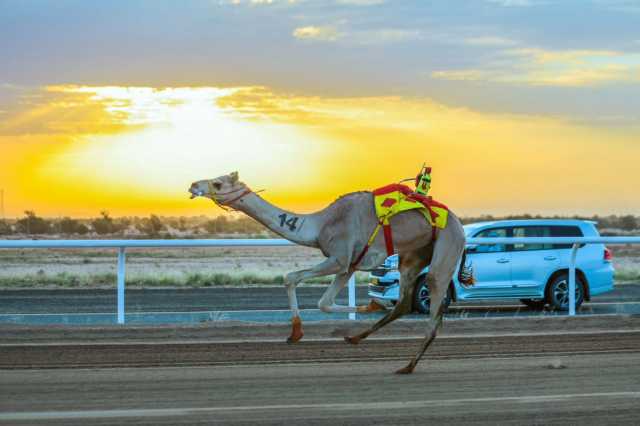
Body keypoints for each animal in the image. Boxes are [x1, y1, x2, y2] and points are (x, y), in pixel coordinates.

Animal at [188, 171, 468, 374]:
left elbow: (291, 278)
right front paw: (372, 306)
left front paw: (296, 333)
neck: (320, 224)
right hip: (414, 255)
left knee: (433, 303)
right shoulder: (349, 264)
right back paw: (355, 338)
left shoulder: (339, 258)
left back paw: (407, 366)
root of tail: (459, 224)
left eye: (218, 183)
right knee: (404, 303)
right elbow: (324, 302)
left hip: (446, 246)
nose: (192, 185)